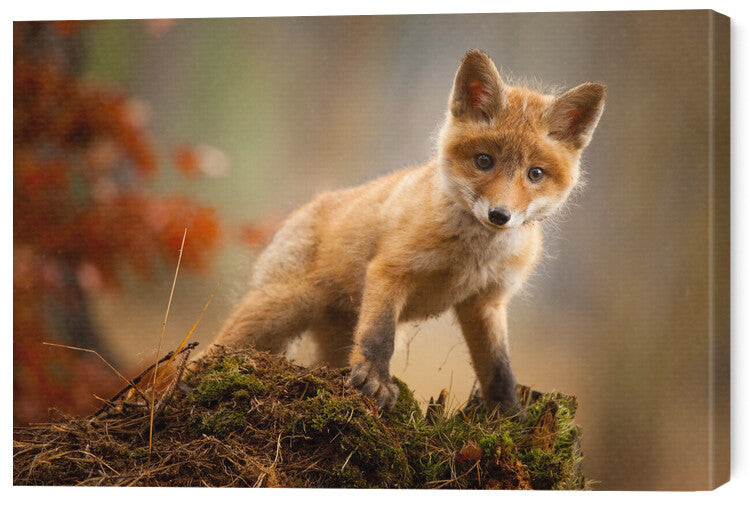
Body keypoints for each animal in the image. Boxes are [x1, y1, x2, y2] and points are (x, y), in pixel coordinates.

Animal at [209, 49, 605, 413]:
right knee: (215, 348)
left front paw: (508, 416)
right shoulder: (391, 271)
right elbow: (379, 337)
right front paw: (375, 381)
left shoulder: (485, 302)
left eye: (535, 174)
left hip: (332, 337)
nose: (499, 215)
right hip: (278, 309)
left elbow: (499, 369)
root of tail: (307, 206)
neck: (472, 256)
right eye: (484, 161)